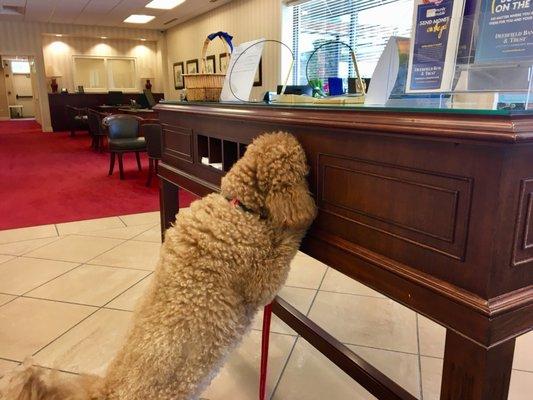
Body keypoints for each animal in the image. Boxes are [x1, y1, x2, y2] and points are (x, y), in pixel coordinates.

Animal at [1, 131, 316, 400]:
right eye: (301, 167)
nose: (291, 135)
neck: (236, 204)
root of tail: (104, 390)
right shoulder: (259, 280)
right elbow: (283, 249)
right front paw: (299, 226)